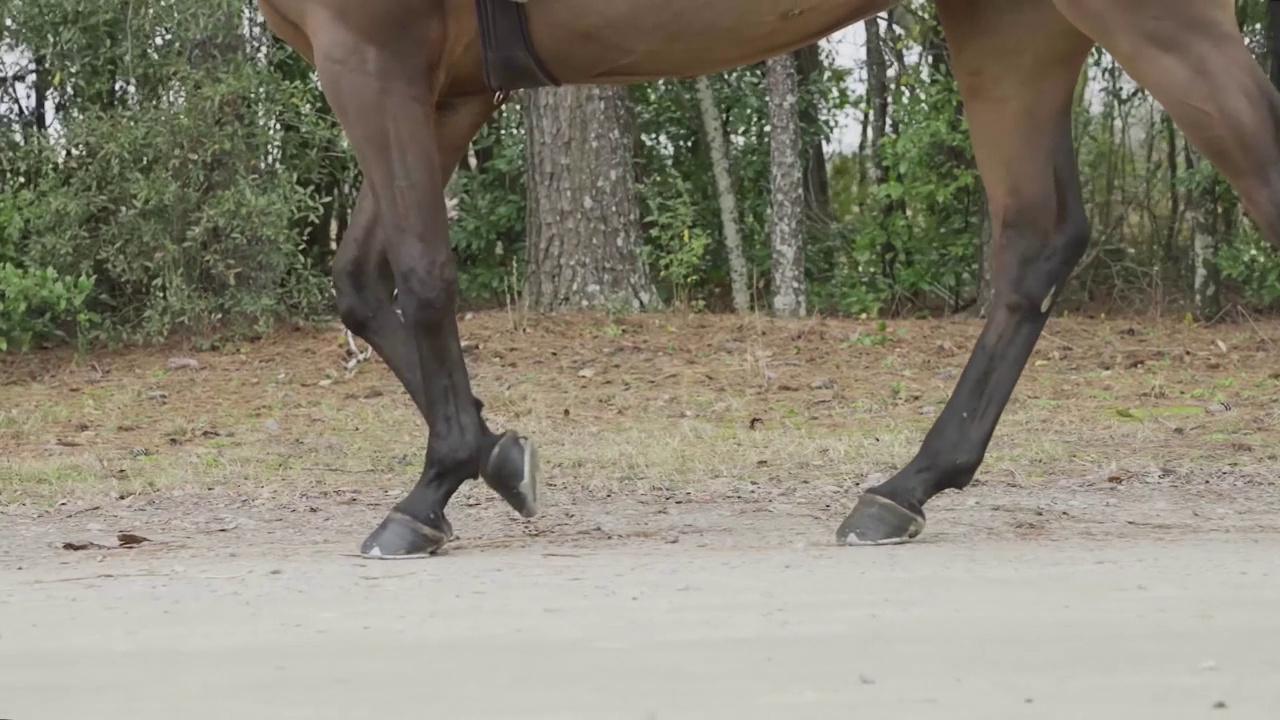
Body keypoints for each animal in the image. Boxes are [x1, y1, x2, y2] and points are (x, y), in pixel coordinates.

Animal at [254, 0, 1280, 556]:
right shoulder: (446, 87)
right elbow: (362, 286)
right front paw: (499, 460)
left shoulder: (373, 55)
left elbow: (424, 277)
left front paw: (430, 492)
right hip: (1015, 32)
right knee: (1036, 242)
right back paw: (906, 488)